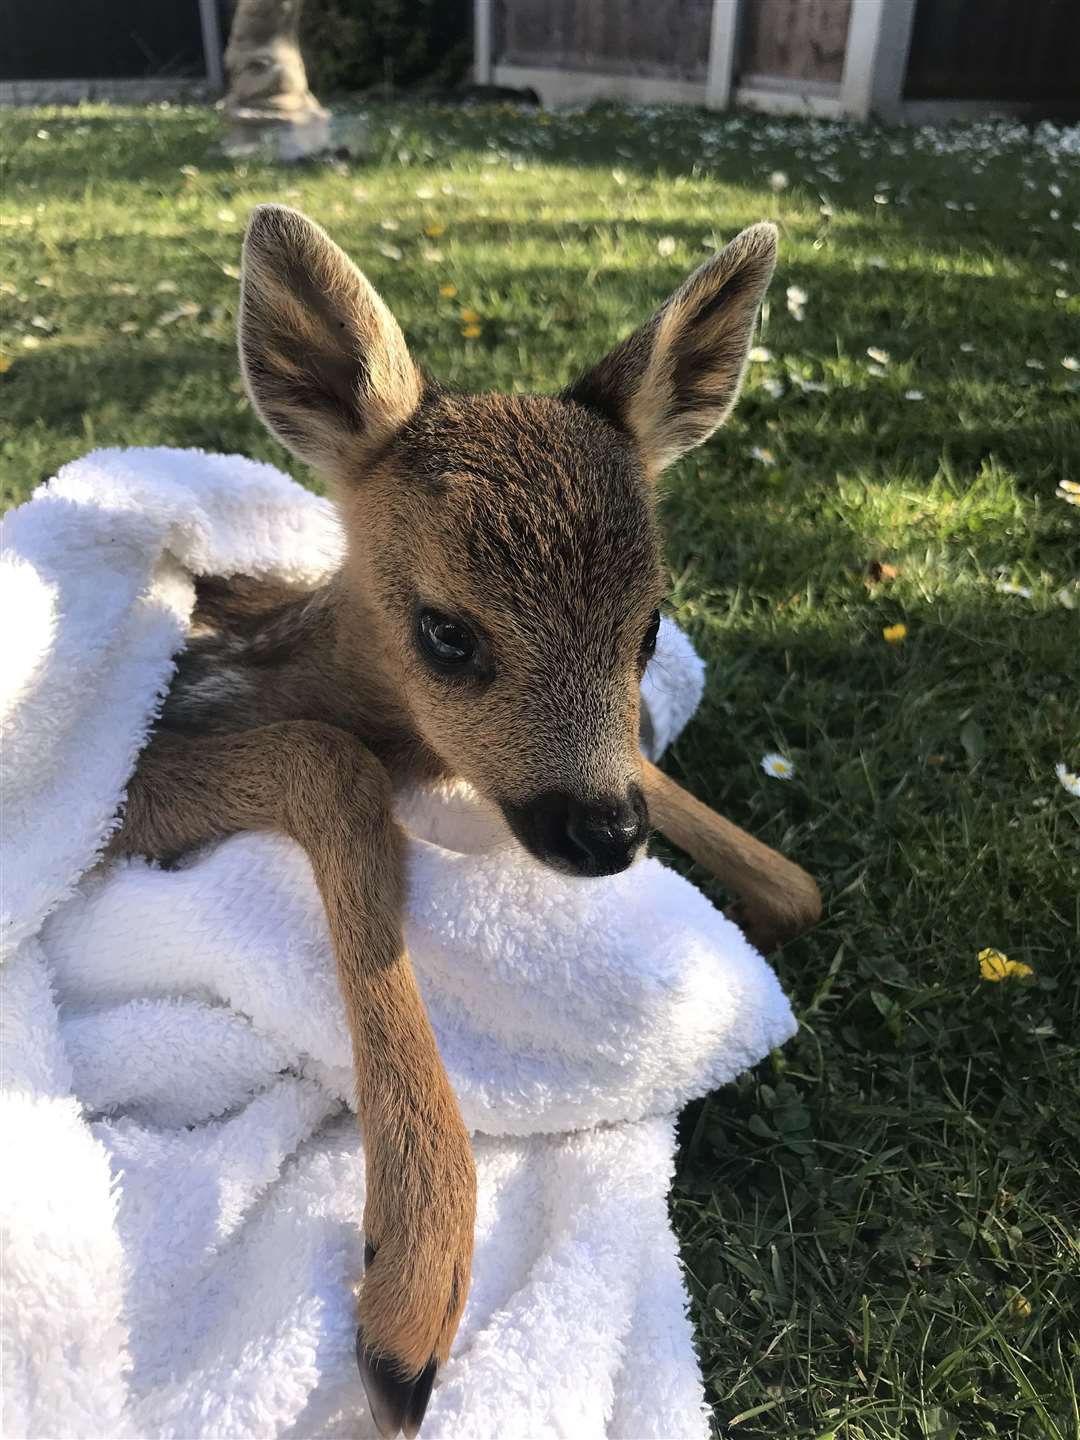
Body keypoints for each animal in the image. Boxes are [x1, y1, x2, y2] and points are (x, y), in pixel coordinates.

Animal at [110, 205, 817, 1440]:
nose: (605, 834)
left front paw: (771, 891)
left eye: (650, 627)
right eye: (447, 634)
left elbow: (799, 884)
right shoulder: (135, 775)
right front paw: (410, 1299)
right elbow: (331, 762)